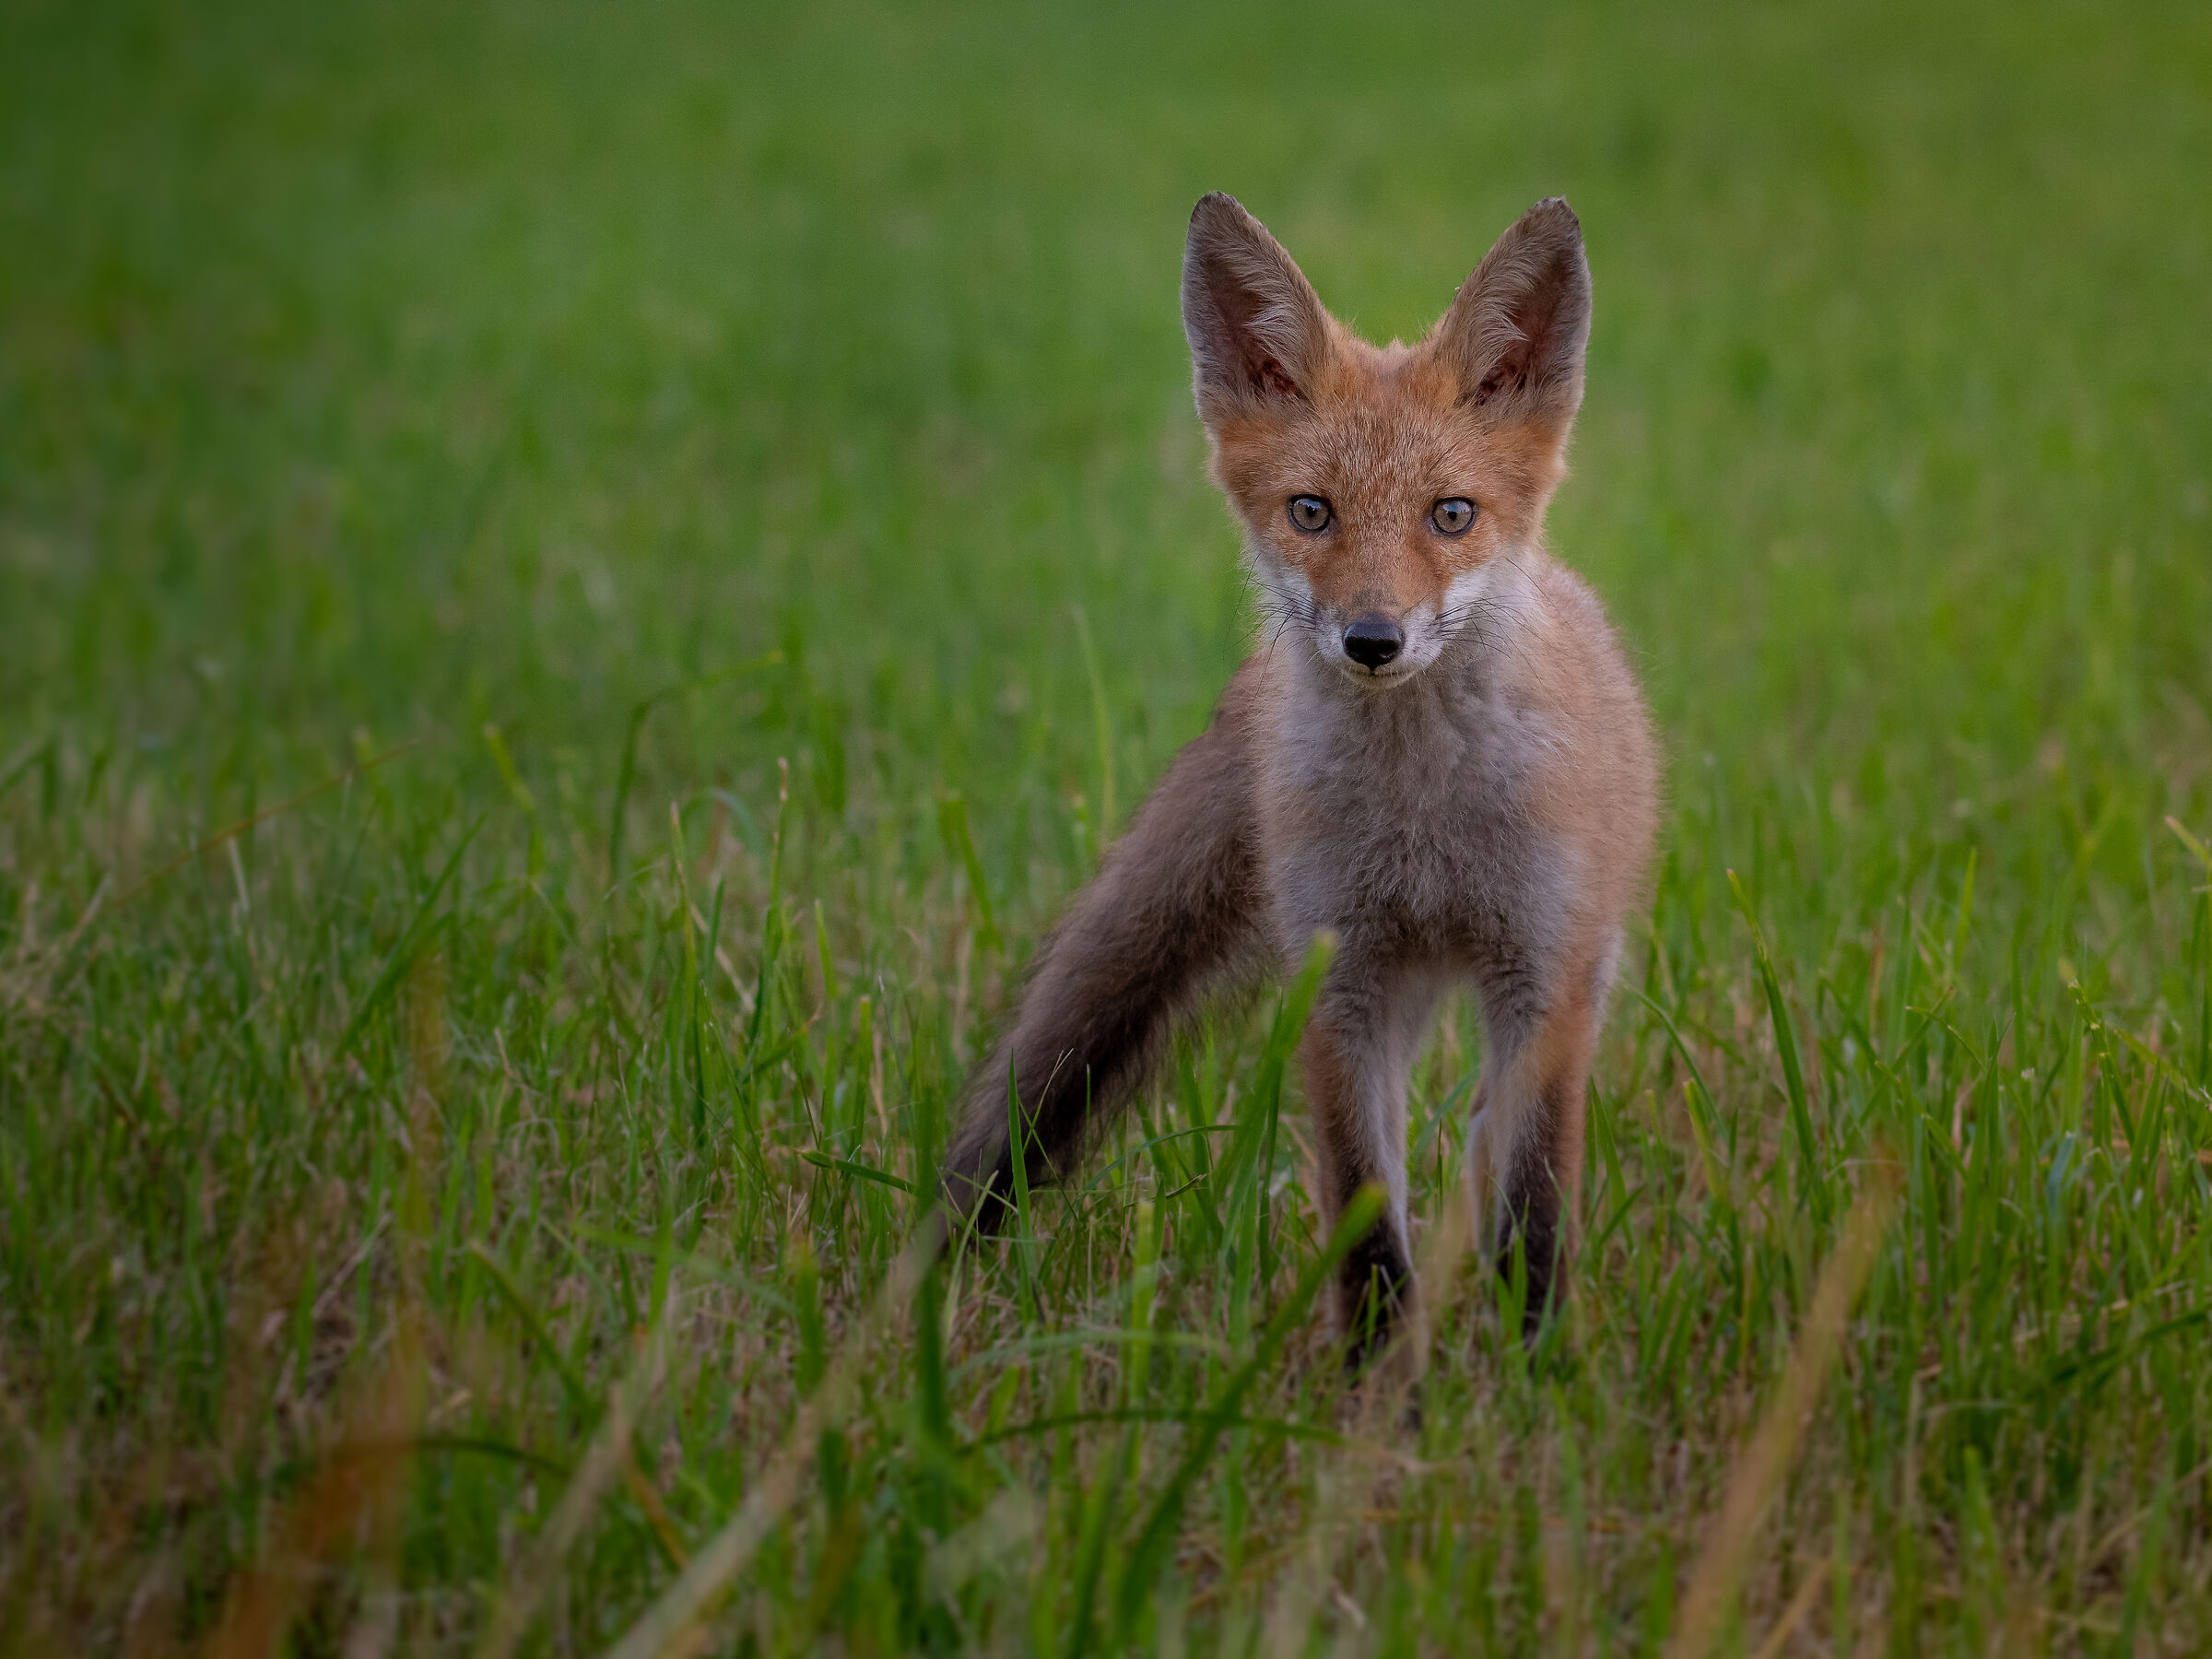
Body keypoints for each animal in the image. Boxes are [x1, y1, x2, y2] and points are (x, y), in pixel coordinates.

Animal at [943, 192, 1659, 1362]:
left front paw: (1536, 1372)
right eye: (1311, 512)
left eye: (1451, 515)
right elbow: (1366, 1220)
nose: (1372, 640)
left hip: (1568, 977)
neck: (1423, 823)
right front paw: (1376, 1388)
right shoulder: (1344, 980)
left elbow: (1531, 1209)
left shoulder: (1540, 977)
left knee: (1486, 1147)